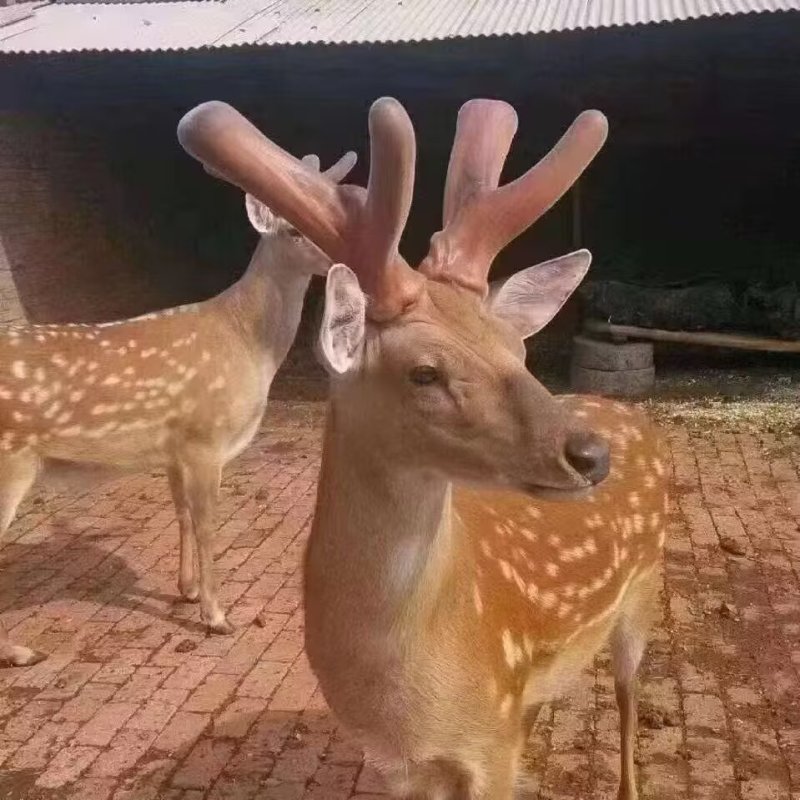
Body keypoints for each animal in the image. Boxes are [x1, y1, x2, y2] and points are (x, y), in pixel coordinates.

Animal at [0, 150, 357, 668]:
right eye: (292, 229)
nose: (344, 258)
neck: (248, 343)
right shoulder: (205, 438)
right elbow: (207, 524)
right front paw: (216, 615)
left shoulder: (175, 446)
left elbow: (182, 513)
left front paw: (186, 590)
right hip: (10, 464)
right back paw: (19, 652)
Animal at [178, 98, 669, 800]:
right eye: (424, 373)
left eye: (515, 349)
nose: (590, 455)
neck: (403, 694)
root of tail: (629, 412)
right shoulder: (399, 761)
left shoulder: (489, 747)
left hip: (645, 593)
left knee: (630, 697)